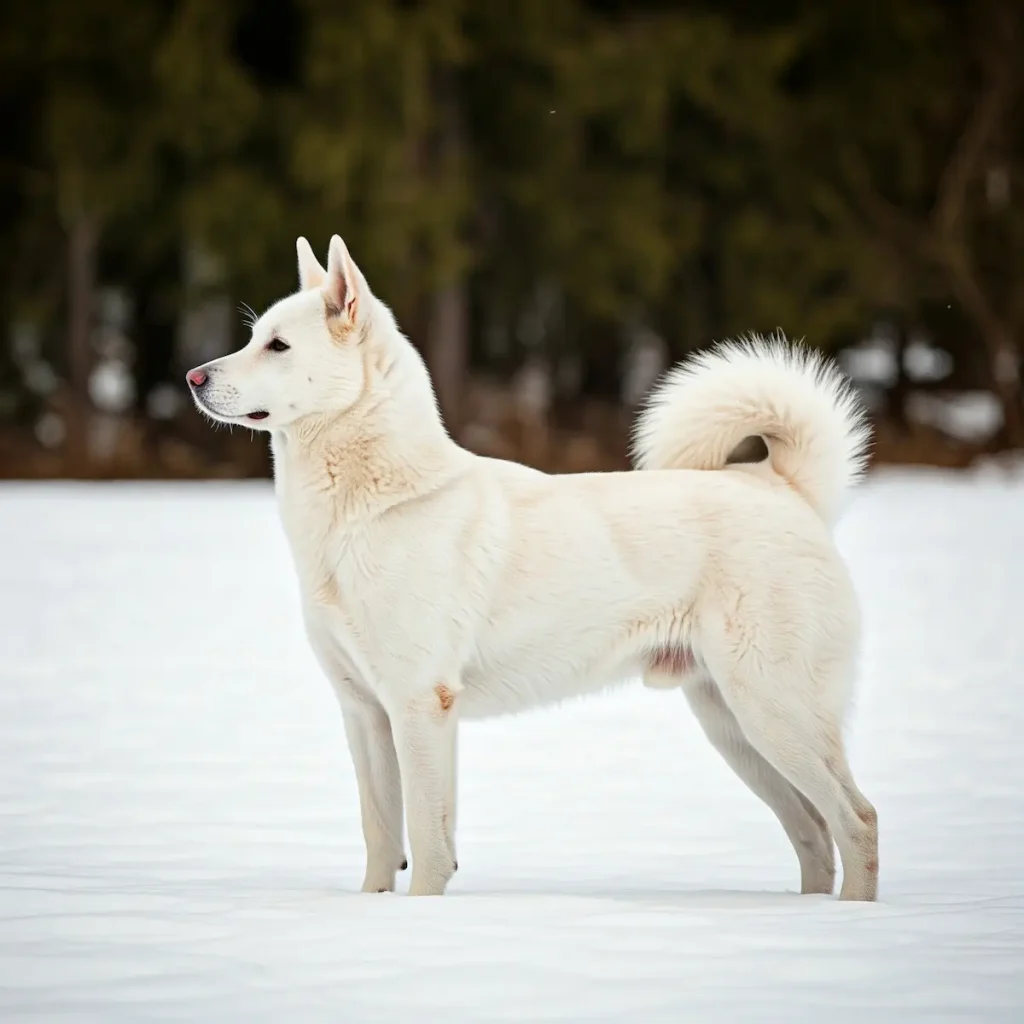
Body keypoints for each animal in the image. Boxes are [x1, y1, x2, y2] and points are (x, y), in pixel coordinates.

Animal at [188, 235, 876, 901]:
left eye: (277, 345)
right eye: (253, 336)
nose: (193, 376)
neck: (371, 505)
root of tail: (783, 486)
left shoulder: (419, 704)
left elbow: (429, 843)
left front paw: (420, 916)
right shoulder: (364, 713)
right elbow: (382, 835)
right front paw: (374, 908)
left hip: (773, 711)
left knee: (857, 821)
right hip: (733, 727)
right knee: (815, 834)